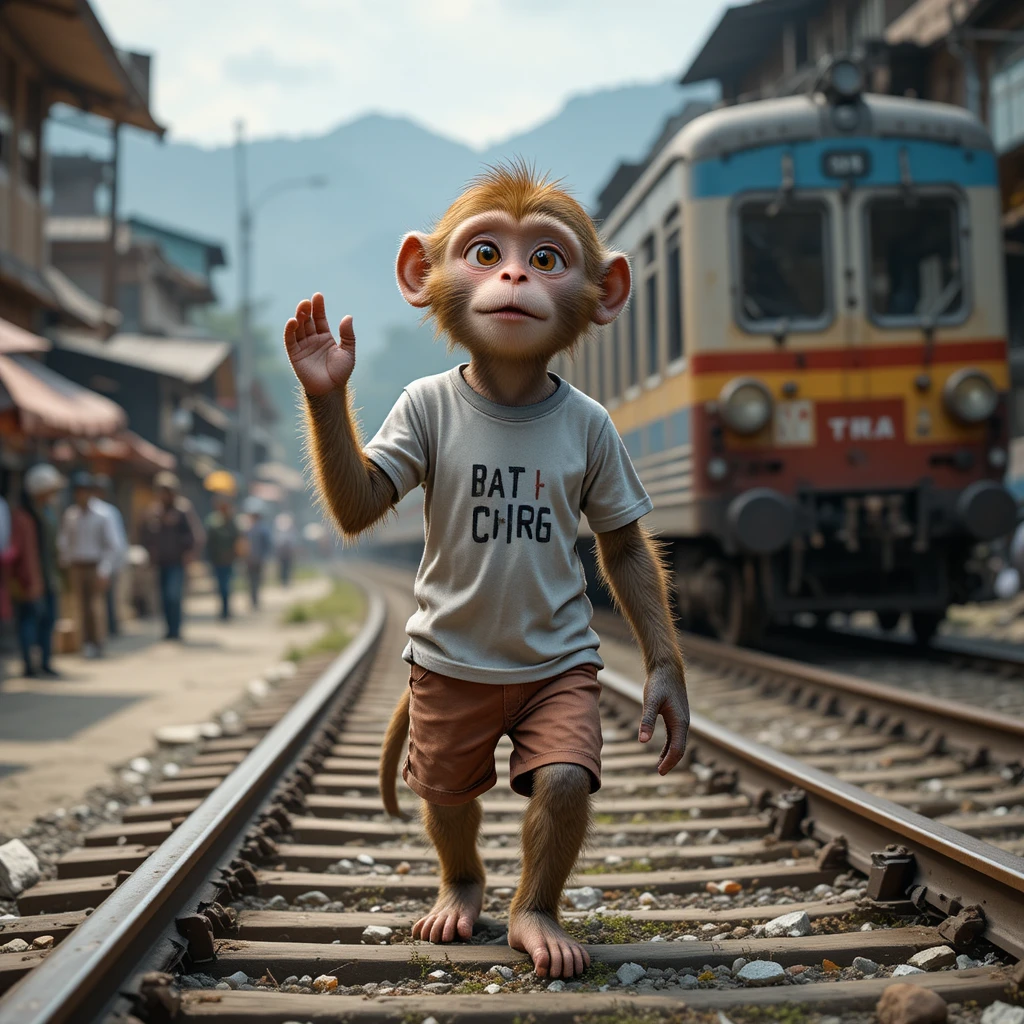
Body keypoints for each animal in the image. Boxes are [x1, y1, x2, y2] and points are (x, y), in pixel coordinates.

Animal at [284, 162, 689, 980]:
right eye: (483, 252)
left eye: (546, 258)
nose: (511, 276)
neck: (508, 393)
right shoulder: (415, 415)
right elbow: (363, 498)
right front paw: (321, 368)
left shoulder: (606, 438)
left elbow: (623, 549)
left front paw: (665, 694)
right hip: (444, 707)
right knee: (445, 787)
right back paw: (459, 899)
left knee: (555, 780)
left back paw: (536, 922)